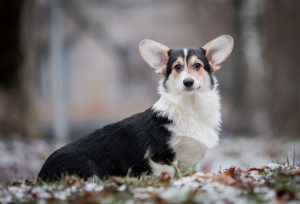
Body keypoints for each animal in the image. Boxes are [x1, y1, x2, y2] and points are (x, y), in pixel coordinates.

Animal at [38, 35, 234, 182]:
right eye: (177, 67)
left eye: (197, 66)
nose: (188, 82)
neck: (190, 107)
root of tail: (41, 174)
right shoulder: (160, 157)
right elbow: (169, 175)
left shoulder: (192, 161)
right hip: (88, 168)